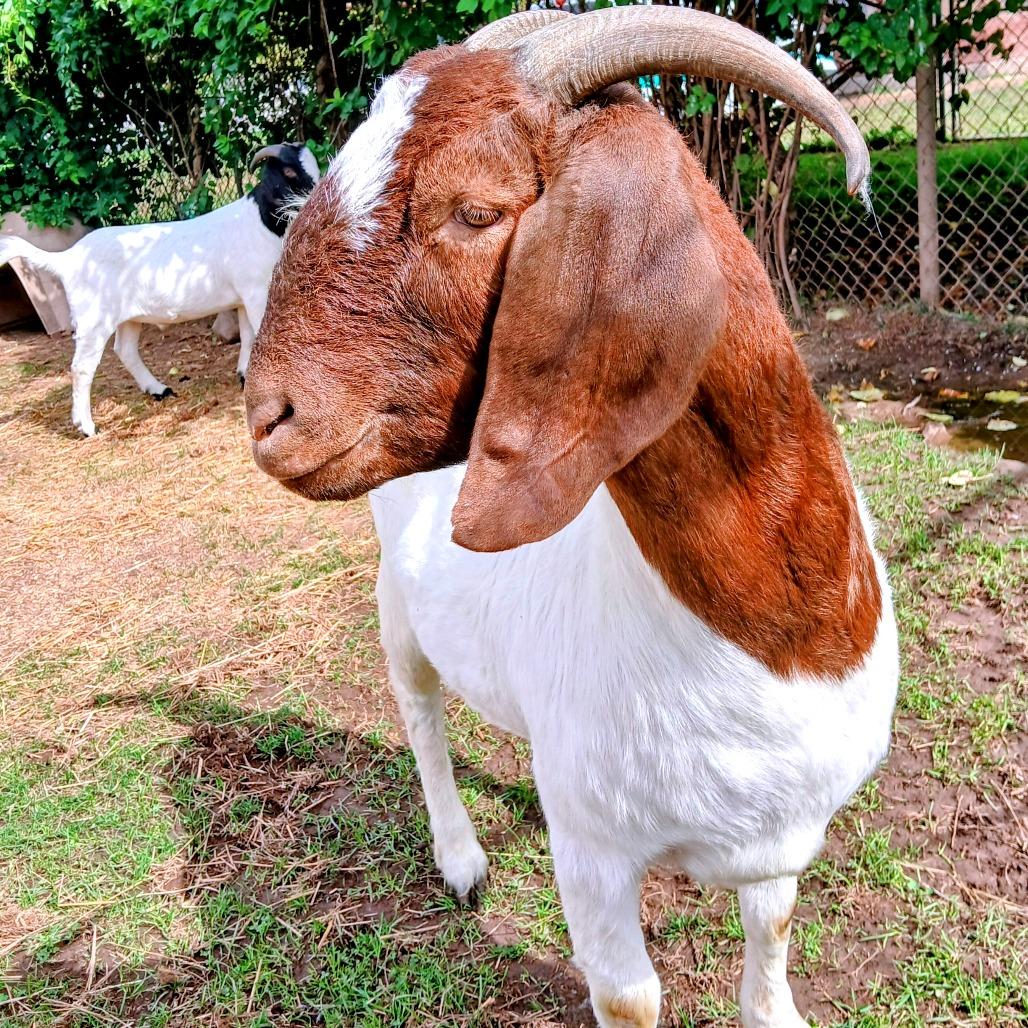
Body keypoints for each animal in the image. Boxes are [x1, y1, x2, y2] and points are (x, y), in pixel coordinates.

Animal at [0, 143, 319, 436]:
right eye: (289, 172)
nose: (316, 195)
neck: (260, 221)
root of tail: (68, 258)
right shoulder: (254, 290)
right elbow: (257, 334)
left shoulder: (242, 296)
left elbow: (247, 335)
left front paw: (243, 375)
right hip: (94, 320)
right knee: (82, 367)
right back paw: (87, 426)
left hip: (128, 318)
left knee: (125, 350)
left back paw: (157, 389)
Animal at [244, 9, 898, 1027]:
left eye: (474, 210)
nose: (269, 414)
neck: (781, 638)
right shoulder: (595, 858)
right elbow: (629, 997)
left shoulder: (784, 828)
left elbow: (774, 928)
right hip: (398, 608)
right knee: (420, 712)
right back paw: (461, 858)